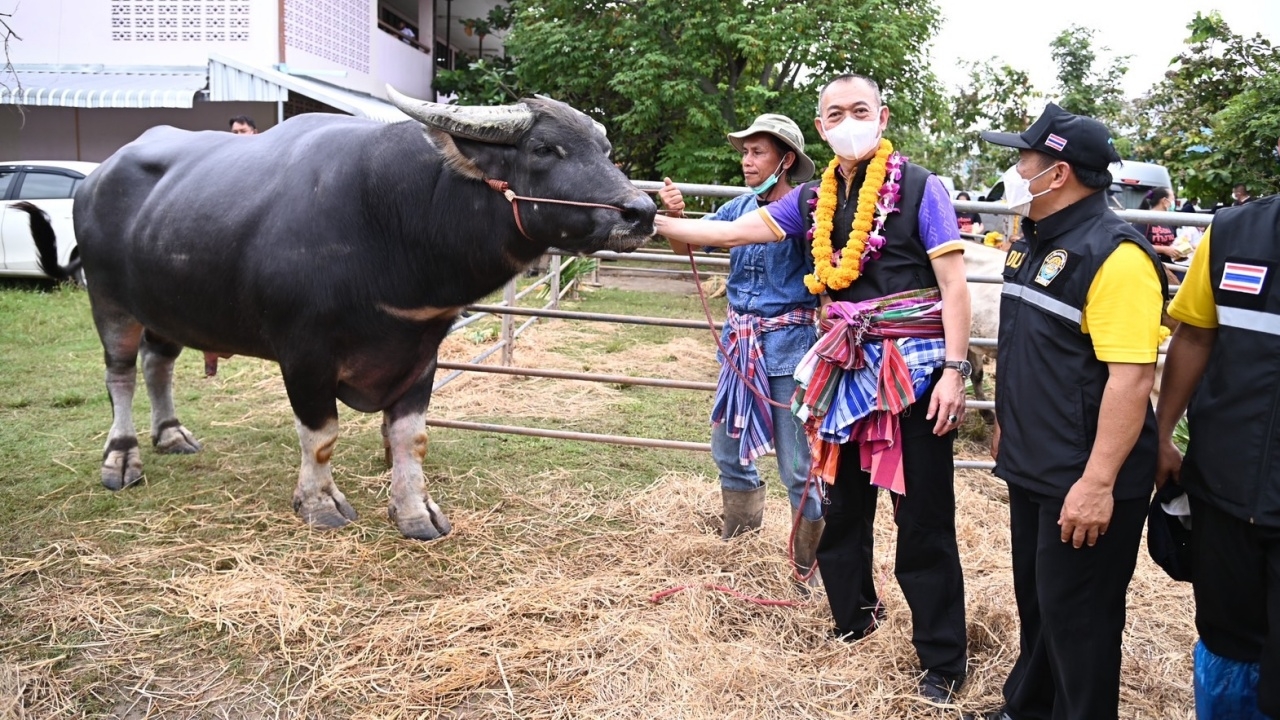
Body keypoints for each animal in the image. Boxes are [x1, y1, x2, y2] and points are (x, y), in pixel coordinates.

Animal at [20, 87, 655, 538]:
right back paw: (122, 459)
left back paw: (171, 434)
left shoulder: (421, 350)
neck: (392, 216)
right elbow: (321, 434)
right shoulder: (303, 353)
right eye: (545, 149)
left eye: (605, 152)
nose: (641, 211)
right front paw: (319, 503)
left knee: (159, 364)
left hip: (168, 307)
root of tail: (95, 179)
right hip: (110, 302)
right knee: (121, 375)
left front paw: (414, 512)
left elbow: (410, 438)